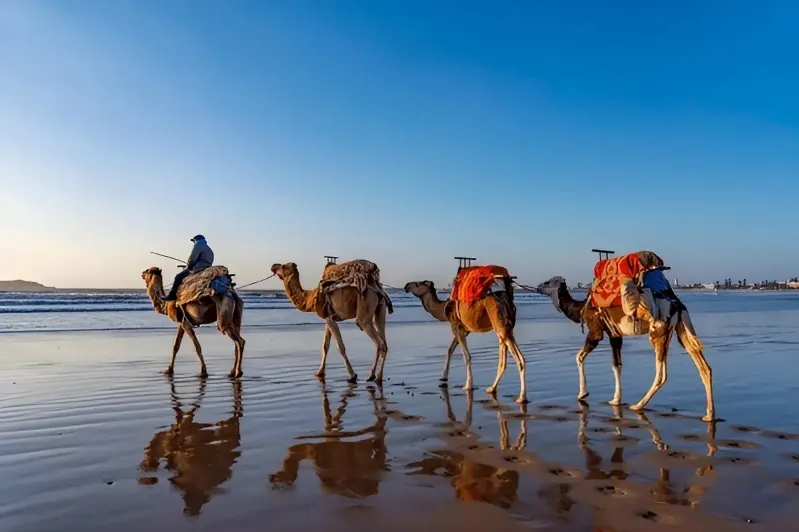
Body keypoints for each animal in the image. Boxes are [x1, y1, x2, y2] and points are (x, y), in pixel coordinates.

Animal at [535, 276, 715, 422]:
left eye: (549, 282)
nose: (538, 286)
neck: (581, 308)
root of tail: (677, 305)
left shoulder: (596, 331)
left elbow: (579, 356)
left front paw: (583, 393)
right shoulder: (615, 334)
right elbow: (617, 365)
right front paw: (616, 399)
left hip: (658, 332)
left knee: (661, 374)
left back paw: (638, 405)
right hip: (681, 329)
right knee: (704, 367)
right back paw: (709, 415)